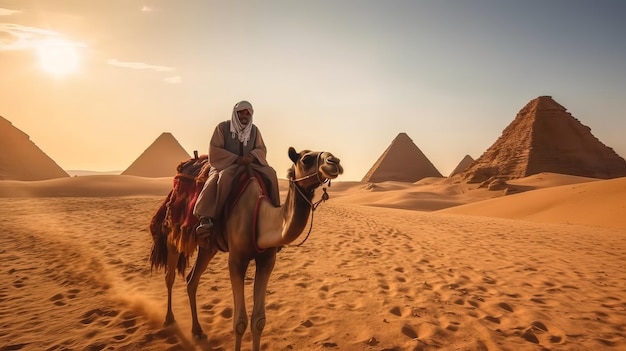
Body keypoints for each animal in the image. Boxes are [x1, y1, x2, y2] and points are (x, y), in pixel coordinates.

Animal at [148, 147, 342, 350]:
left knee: (191, 280)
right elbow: (239, 322)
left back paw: (197, 330)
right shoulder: (236, 260)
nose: (334, 162)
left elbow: (259, 321)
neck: (258, 217)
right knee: (170, 275)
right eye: (306, 159)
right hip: (173, 231)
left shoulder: (267, 261)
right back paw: (169, 319)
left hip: (208, 247)